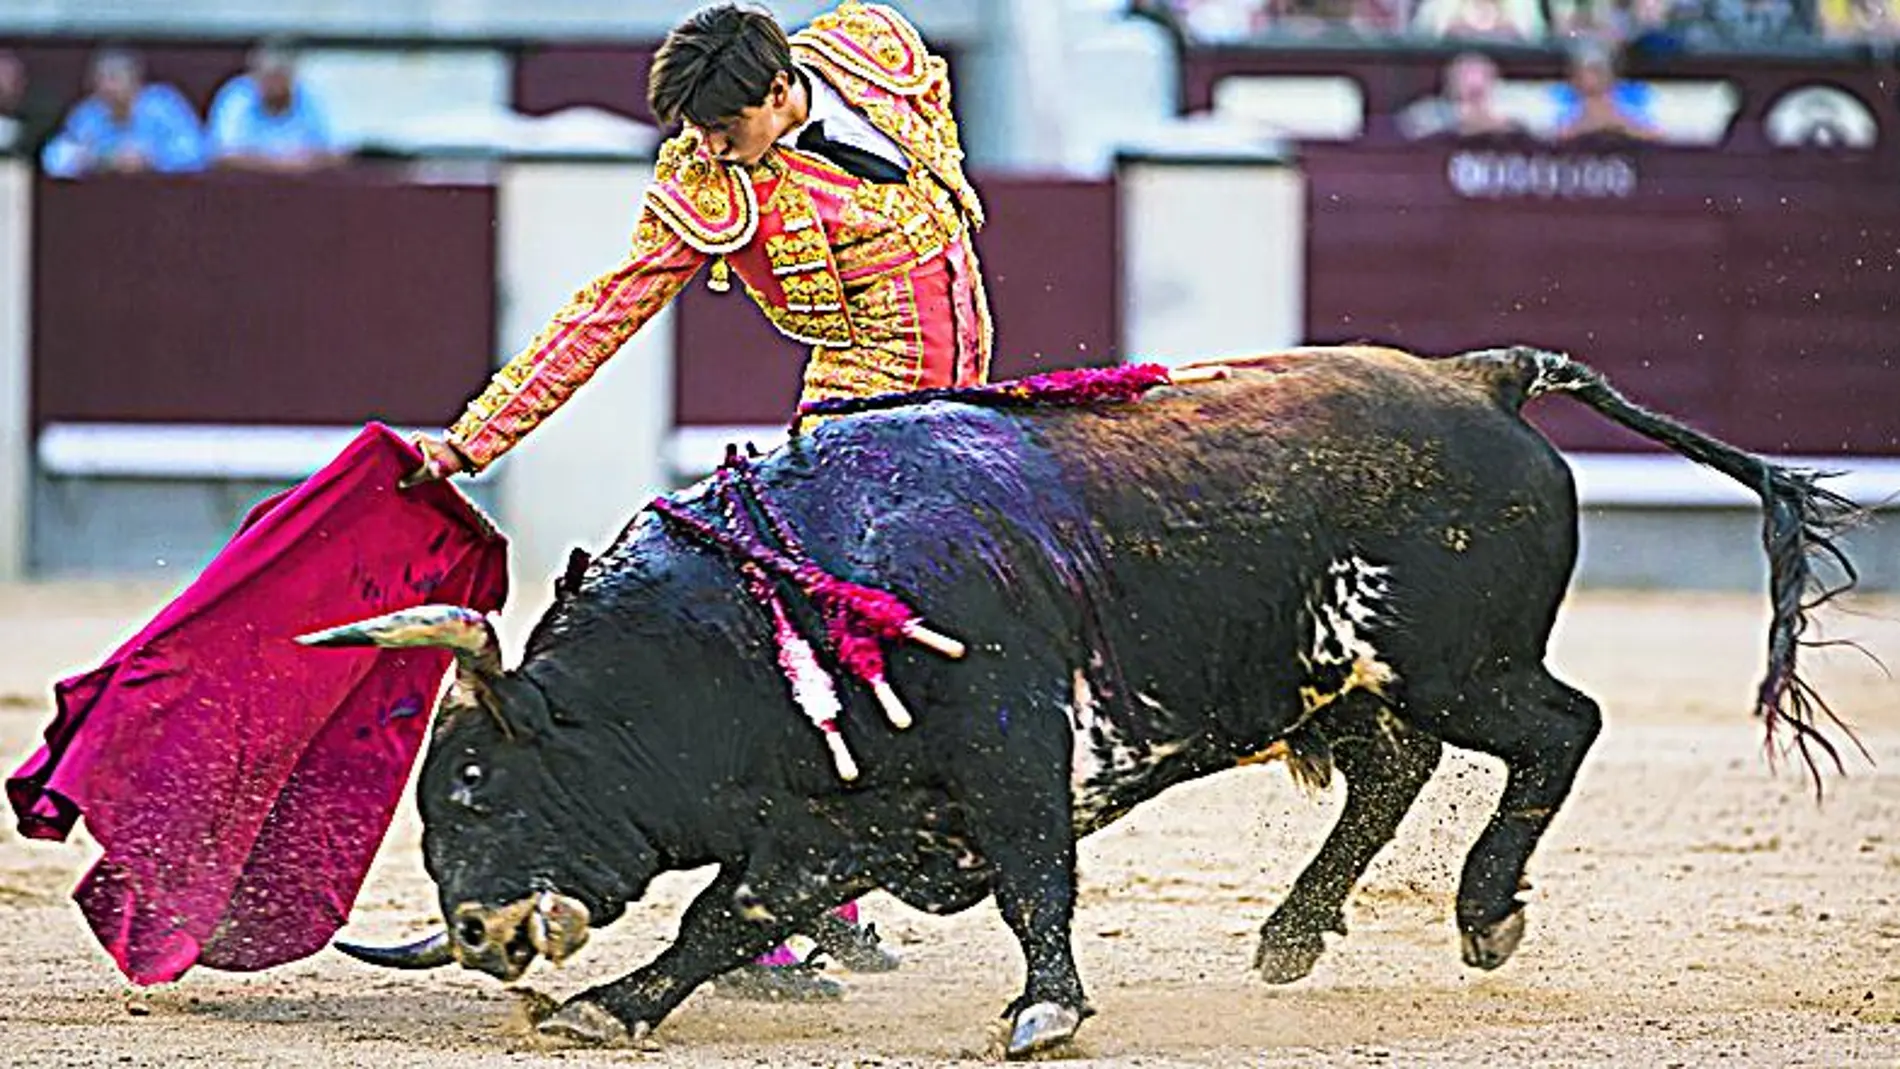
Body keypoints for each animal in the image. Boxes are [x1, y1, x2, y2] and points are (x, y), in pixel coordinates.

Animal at [300, 347, 1854, 1055]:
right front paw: (611, 1005)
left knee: (1559, 731)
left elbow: (1039, 879)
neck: (765, 607)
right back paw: (1290, 936)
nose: (477, 932)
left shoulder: (1009, 749)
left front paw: (1047, 1009)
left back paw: (1480, 914)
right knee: (1392, 770)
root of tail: (1486, 376)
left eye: (477, 782)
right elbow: (723, 916)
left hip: (1464, 666)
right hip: (1343, 678)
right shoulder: (845, 814)